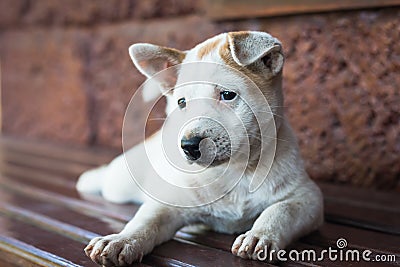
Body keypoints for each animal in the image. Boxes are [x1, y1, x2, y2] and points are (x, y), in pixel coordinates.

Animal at [76, 30, 324, 266]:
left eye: (227, 95)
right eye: (181, 103)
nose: (188, 146)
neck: (237, 171)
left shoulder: (307, 198)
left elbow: (280, 211)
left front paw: (260, 235)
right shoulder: (167, 204)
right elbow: (144, 221)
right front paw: (121, 240)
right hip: (121, 184)